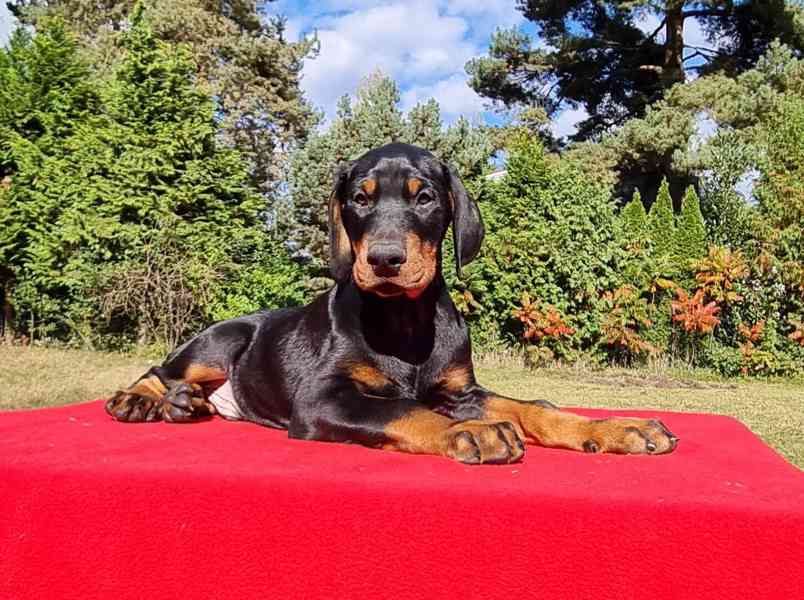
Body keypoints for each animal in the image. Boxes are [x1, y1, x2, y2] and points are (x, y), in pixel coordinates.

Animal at [103, 142, 676, 464]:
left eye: (425, 197)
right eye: (360, 198)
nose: (383, 259)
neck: (403, 318)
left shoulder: (460, 389)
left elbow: (531, 407)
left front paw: (616, 428)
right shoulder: (321, 398)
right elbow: (402, 408)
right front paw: (471, 431)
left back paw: (186, 405)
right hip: (220, 339)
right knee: (160, 369)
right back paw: (142, 401)